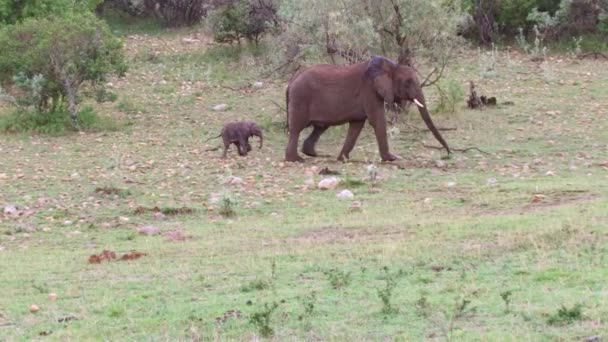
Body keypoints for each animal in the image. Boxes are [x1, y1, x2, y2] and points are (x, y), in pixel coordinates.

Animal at [284, 55, 452, 162]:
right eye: (408, 82)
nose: (448, 154)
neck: (390, 66)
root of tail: (291, 81)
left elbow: (356, 126)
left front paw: (343, 159)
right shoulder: (369, 91)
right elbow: (377, 120)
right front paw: (391, 159)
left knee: (319, 127)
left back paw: (314, 154)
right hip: (300, 98)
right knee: (296, 128)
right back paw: (296, 160)